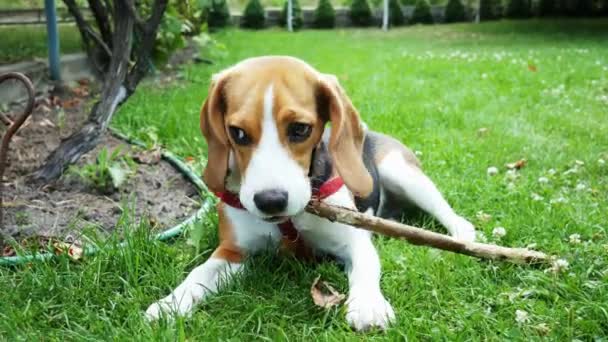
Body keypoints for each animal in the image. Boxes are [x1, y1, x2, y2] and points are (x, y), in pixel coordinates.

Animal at [145, 56, 478, 332]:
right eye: (237, 133)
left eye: (300, 129)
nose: (270, 201)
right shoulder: (234, 251)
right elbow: (200, 273)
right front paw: (170, 303)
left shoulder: (353, 239)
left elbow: (366, 265)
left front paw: (368, 304)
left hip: (402, 172)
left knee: (445, 210)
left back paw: (461, 232)